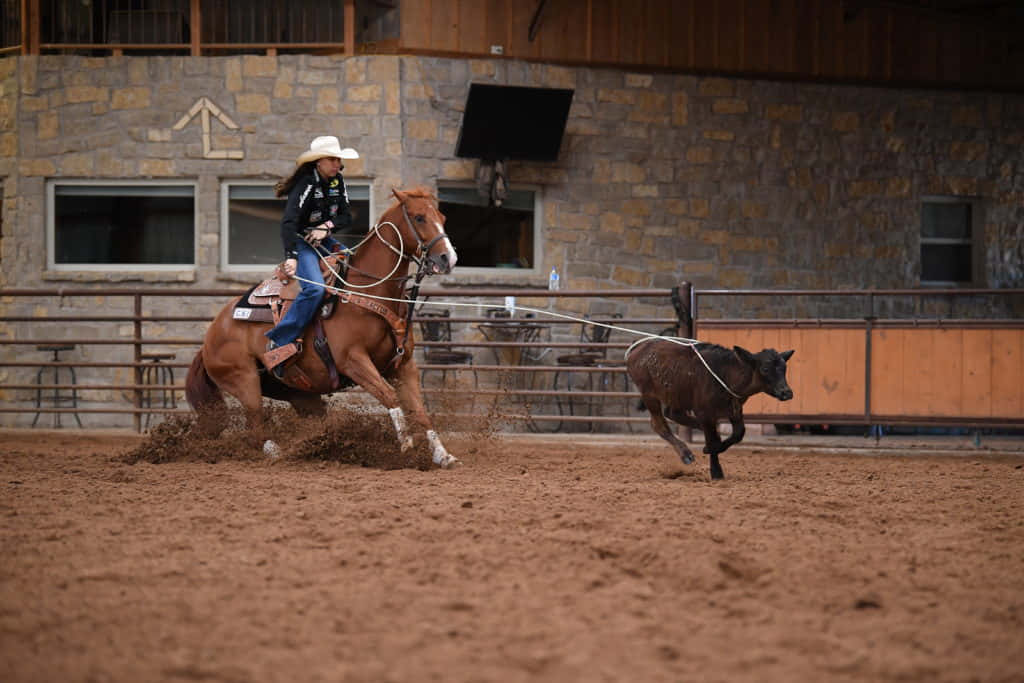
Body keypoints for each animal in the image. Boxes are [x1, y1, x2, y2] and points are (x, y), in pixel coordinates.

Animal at [186, 187, 462, 466]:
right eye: (419, 217)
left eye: (442, 217)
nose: (448, 258)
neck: (369, 292)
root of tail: (212, 334)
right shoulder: (353, 361)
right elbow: (390, 397)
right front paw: (407, 447)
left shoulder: (404, 365)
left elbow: (420, 409)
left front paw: (443, 455)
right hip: (244, 381)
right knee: (254, 430)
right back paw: (277, 452)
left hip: (300, 394)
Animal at [622, 339, 798, 481]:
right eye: (765, 368)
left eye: (784, 368)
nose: (787, 392)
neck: (727, 373)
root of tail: (637, 348)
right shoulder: (704, 412)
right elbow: (714, 440)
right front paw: (716, 471)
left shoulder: (735, 408)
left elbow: (738, 433)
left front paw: (715, 447)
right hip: (649, 395)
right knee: (659, 424)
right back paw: (686, 454)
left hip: (677, 395)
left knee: (674, 414)